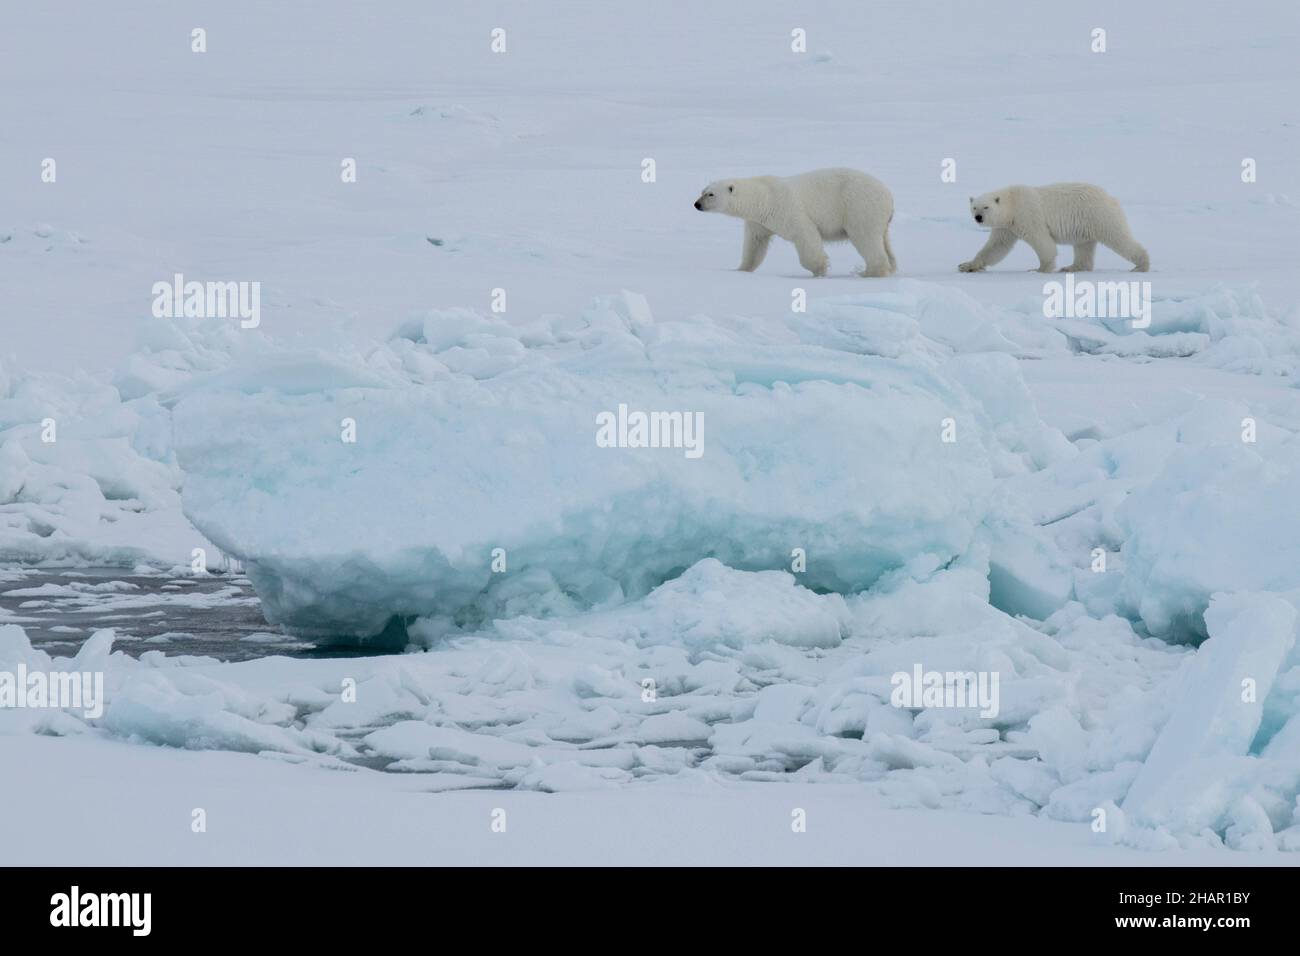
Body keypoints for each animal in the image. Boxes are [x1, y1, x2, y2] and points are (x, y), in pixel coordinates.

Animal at [694, 168, 896, 277]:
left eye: (710, 194)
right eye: (702, 191)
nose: (697, 204)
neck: (763, 197)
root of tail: (888, 195)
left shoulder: (786, 209)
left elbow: (805, 234)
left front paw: (819, 269)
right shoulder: (758, 223)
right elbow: (755, 245)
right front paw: (741, 269)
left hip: (860, 207)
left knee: (865, 237)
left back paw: (869, 272)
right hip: (880, 218)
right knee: (884, 241)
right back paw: (890, 267)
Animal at [958, 183, 1149, 274]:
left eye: (986, 207)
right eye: (974, 207)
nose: (978, 217)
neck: (1012, 203)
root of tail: (1110, 197)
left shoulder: (1027, 214)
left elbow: (1041, 241)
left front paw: (1040, 269)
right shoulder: (1006, 227)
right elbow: (996, 247)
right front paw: (967, 265)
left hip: (1099, 215)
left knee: (1118, 237)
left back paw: (1141, 265)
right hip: (1086, 224)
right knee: (1084, 247)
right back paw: (1071, 267)